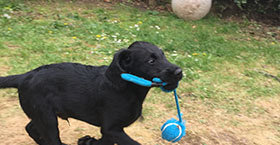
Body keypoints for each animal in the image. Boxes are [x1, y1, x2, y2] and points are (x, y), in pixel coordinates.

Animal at [0, 41, 183, 144]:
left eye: (163, 55)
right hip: (48, 119)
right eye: (151, 60)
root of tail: (25, 76)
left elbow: (102, 142)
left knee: (30, 128)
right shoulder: (111, 129)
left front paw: (88, 141)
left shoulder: (110, 131)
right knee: (51, 138)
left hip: (41, 115)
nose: (179, 72)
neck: (127, 87)